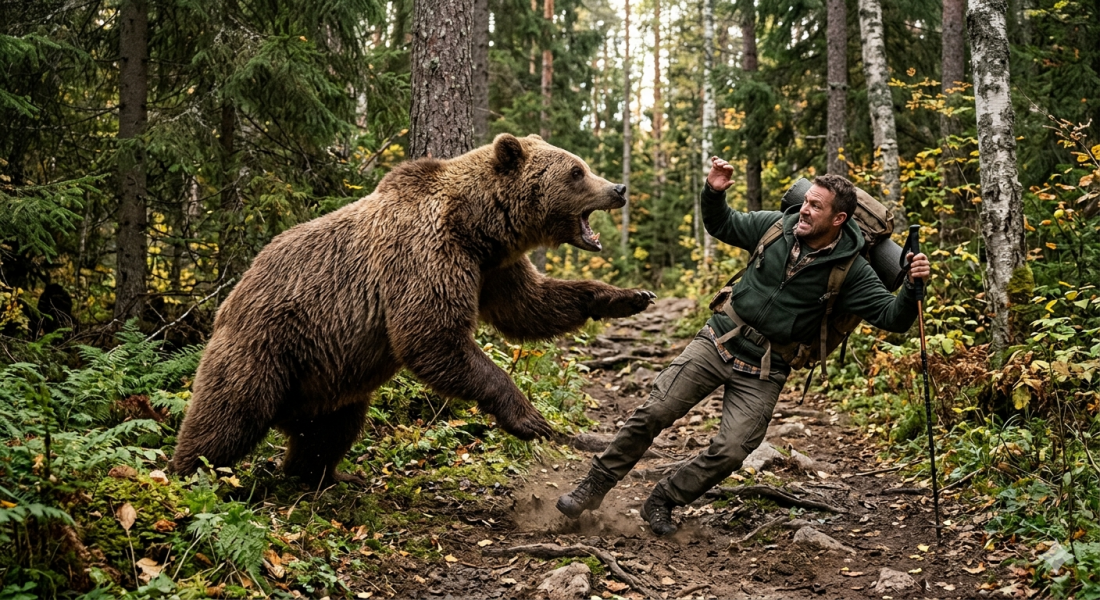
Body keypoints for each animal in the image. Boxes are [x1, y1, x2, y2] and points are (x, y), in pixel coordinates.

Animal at [169, 133, 656, 484]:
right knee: (228, 415)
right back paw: (189, 476)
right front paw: (528, 417)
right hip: (268, 343)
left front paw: (628, 296)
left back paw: (322, 477)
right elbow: (432, 336)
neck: (478, 227)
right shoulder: (426, 256)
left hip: (325, 377)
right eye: (576, 171)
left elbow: (530, 307)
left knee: (330, 430)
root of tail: (231, 296)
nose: (619, 188)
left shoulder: (493, 269)